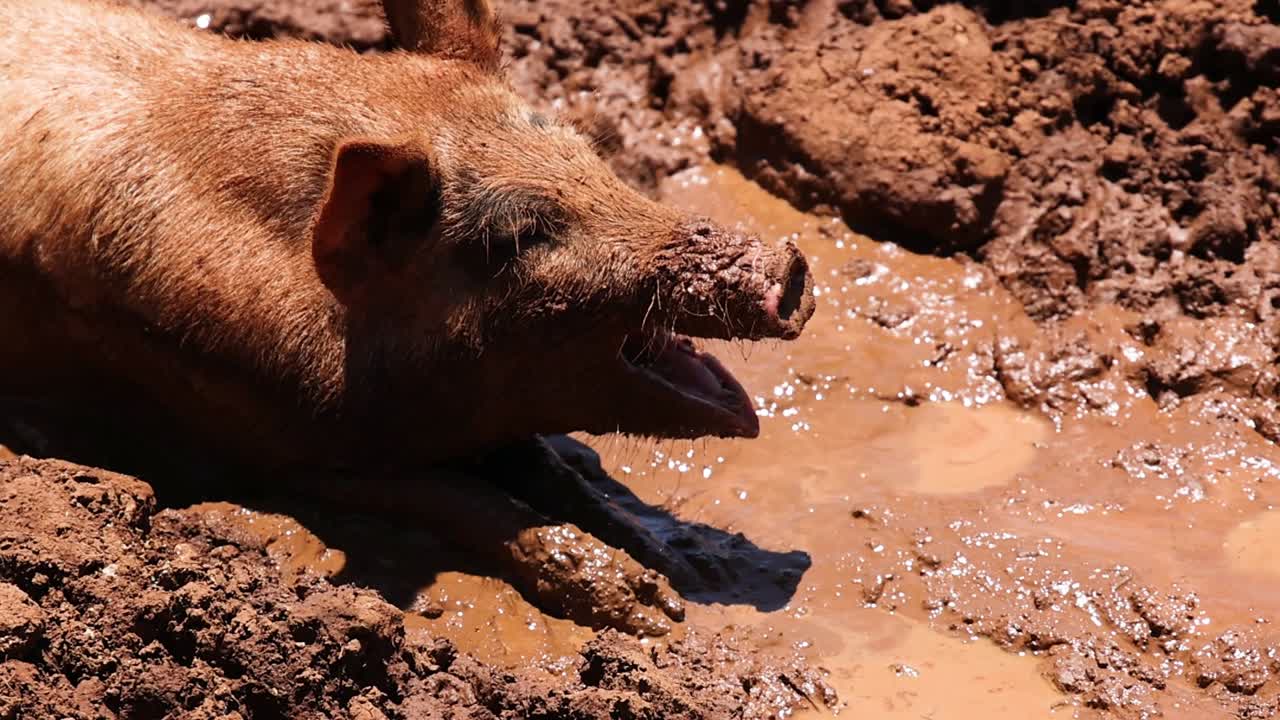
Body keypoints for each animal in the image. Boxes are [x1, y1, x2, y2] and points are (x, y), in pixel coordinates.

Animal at [0, 0, 815, 635]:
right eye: (516, 235)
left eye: (588, 155)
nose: (788, 269)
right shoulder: (258, 440)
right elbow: (468, 499)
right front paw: (650, 613)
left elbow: (553, 473)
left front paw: (685, 572)